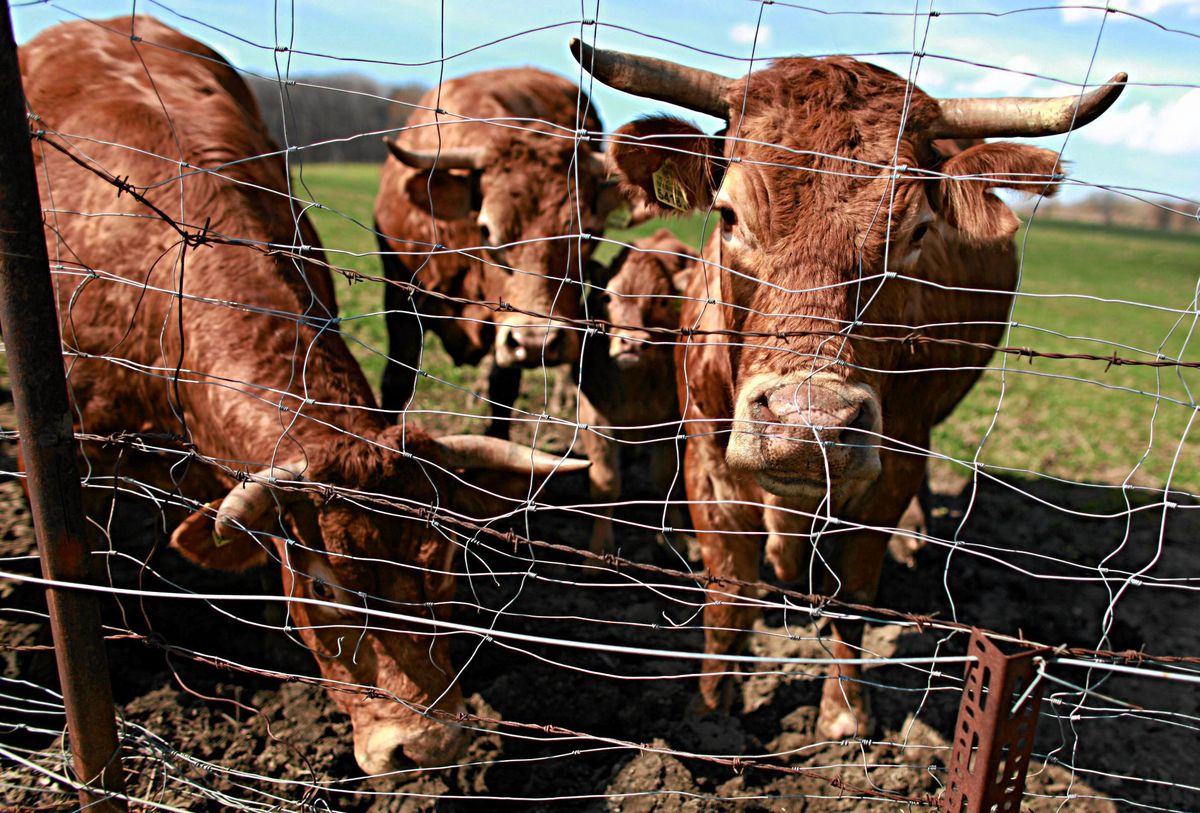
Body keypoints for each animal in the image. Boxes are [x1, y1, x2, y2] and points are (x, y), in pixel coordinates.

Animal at [372, 67, 619, 436]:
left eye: (587, 235)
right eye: (487, 231)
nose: (535, 342)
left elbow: (502, 393)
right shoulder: (400, 295)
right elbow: (397, 380)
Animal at [578, 229, 696, 553]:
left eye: (662, 301)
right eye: (606, 296)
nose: (631, 343)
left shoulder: (670, 420)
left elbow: (665, 477)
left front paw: (678, 539)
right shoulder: (593, 416)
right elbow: (605, 482)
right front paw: (597, 551)